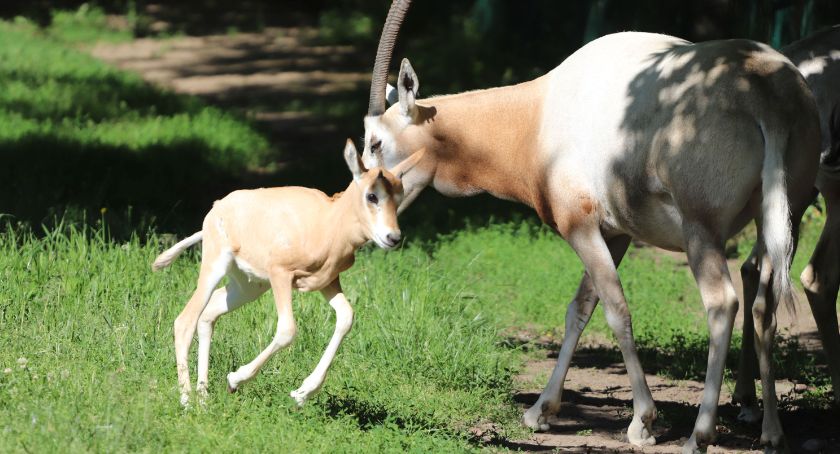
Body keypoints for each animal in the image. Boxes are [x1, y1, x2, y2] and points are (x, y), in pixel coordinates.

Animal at [153, 140, 426, 406]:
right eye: (372, 195)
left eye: (399, 196)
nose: (393, 238)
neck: (328, 221)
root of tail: (216, 208)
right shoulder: (281, 275)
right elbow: (287, 330)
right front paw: (235, 379)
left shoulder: (327, 282)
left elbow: (346, 317)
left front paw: (303, 393)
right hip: (216, 265)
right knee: (185, 320)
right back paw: (187, 400)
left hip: (249, 286)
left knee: (208, 313)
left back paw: (203, 396)